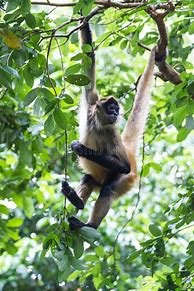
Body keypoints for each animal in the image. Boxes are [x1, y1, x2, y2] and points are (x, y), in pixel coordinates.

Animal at [62, 21, 156, 230]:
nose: (115, 113)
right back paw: (77, 201)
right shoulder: (91, 104)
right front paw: (83, 20)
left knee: (108, 189)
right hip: (97, 177)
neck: (98, 125)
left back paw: (90, 225)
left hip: (125, 180)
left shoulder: (112, 132)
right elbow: (89, 58)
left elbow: (123, 166)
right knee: (89, 178)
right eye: (111, 108)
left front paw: (81, 149)